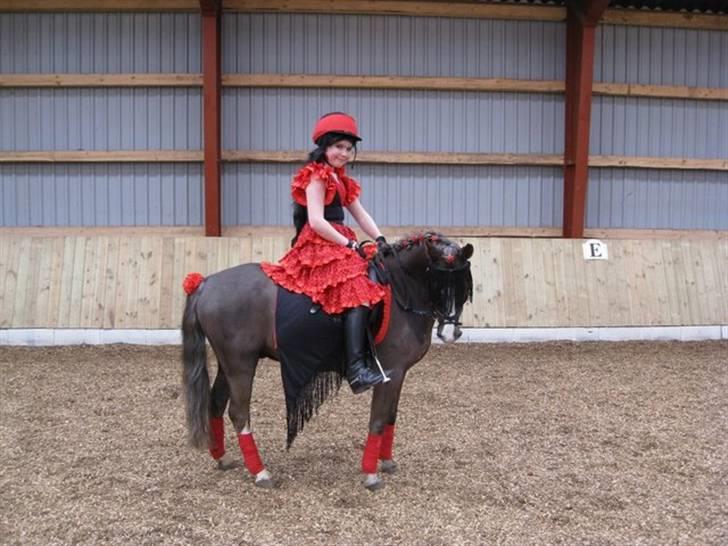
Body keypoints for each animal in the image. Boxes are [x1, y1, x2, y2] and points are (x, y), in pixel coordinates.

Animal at [183, 230, 472, 488]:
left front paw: (387, 462)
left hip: (228, 362)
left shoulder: (400, 373)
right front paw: (370, 474)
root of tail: (205, 283)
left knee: (216, 403)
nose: (450, 333)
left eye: (464, 286)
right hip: (241, 363)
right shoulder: (390, 370)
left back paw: (222, 458)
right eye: (437, 281)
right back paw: (261, 473)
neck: (400, 290)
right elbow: (378, 419)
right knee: (238, 412)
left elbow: (391, 415)